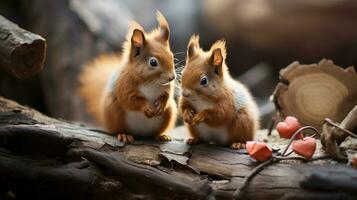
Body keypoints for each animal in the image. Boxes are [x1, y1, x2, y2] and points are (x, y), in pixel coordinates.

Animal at [79, 11, 177, 143]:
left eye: (171, 56)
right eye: (153, 62)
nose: (172, 77)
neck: (151, 82)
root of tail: (141, 134)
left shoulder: (166, 88)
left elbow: (166, 96)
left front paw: (160, 105)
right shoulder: (124, 85)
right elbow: (130, 100)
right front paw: (147, 107)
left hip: (170, 112)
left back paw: (161, 136)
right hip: (114, 111)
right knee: (118, 129)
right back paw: (124, 135)